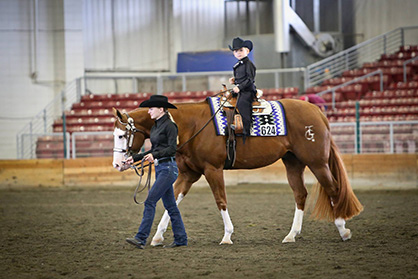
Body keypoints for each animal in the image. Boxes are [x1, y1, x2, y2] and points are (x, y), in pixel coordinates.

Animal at [111, 99, 362, 247]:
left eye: (122, 135)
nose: (117, 164)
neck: (192, 125)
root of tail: (317, 112)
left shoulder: (213, 170)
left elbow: (220, 200)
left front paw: (227, 235)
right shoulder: (188, 174)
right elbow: (172, 200)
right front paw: (157, 236)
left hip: (317, 163)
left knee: (333, 188)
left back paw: (343, 230)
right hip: (293, 163)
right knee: (300, 194)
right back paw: (292, 234)